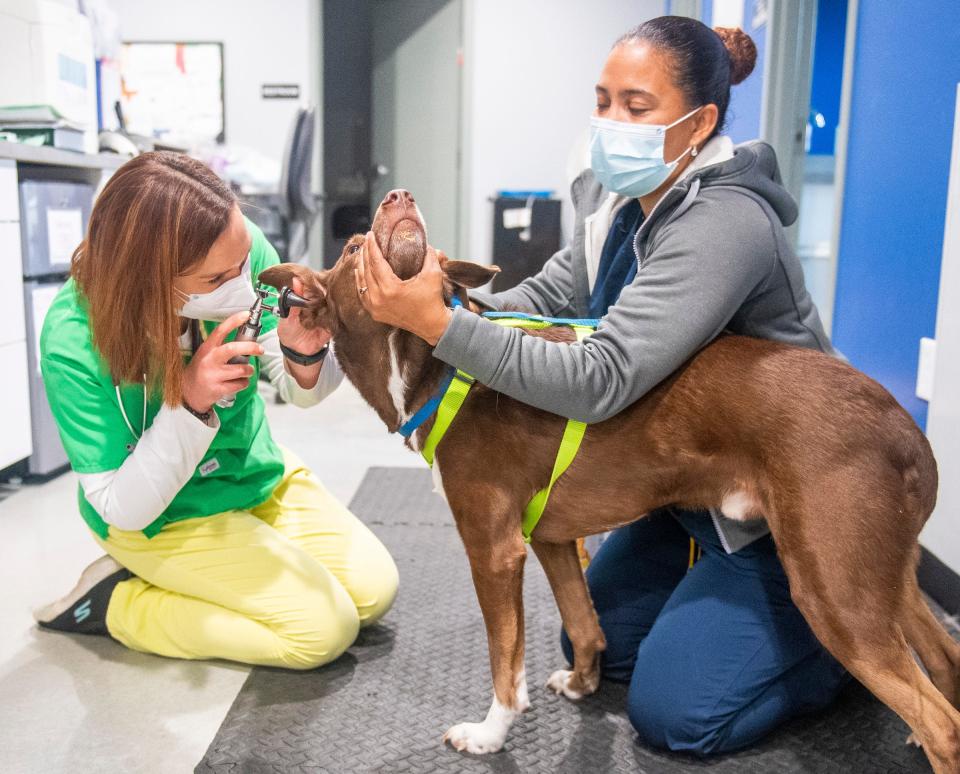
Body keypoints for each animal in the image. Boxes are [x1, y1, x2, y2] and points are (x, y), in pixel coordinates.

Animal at [262, 191, 960, 772]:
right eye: (351, 248)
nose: (400, 196)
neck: (429, 365)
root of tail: (906, 429)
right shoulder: (548, 538)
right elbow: (587, 624)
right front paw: (581, 685)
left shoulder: (494, 549)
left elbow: (504, 661)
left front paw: (490, 734)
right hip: (881, 571)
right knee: (944, 661)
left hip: (832, 590)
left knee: (942, 722)